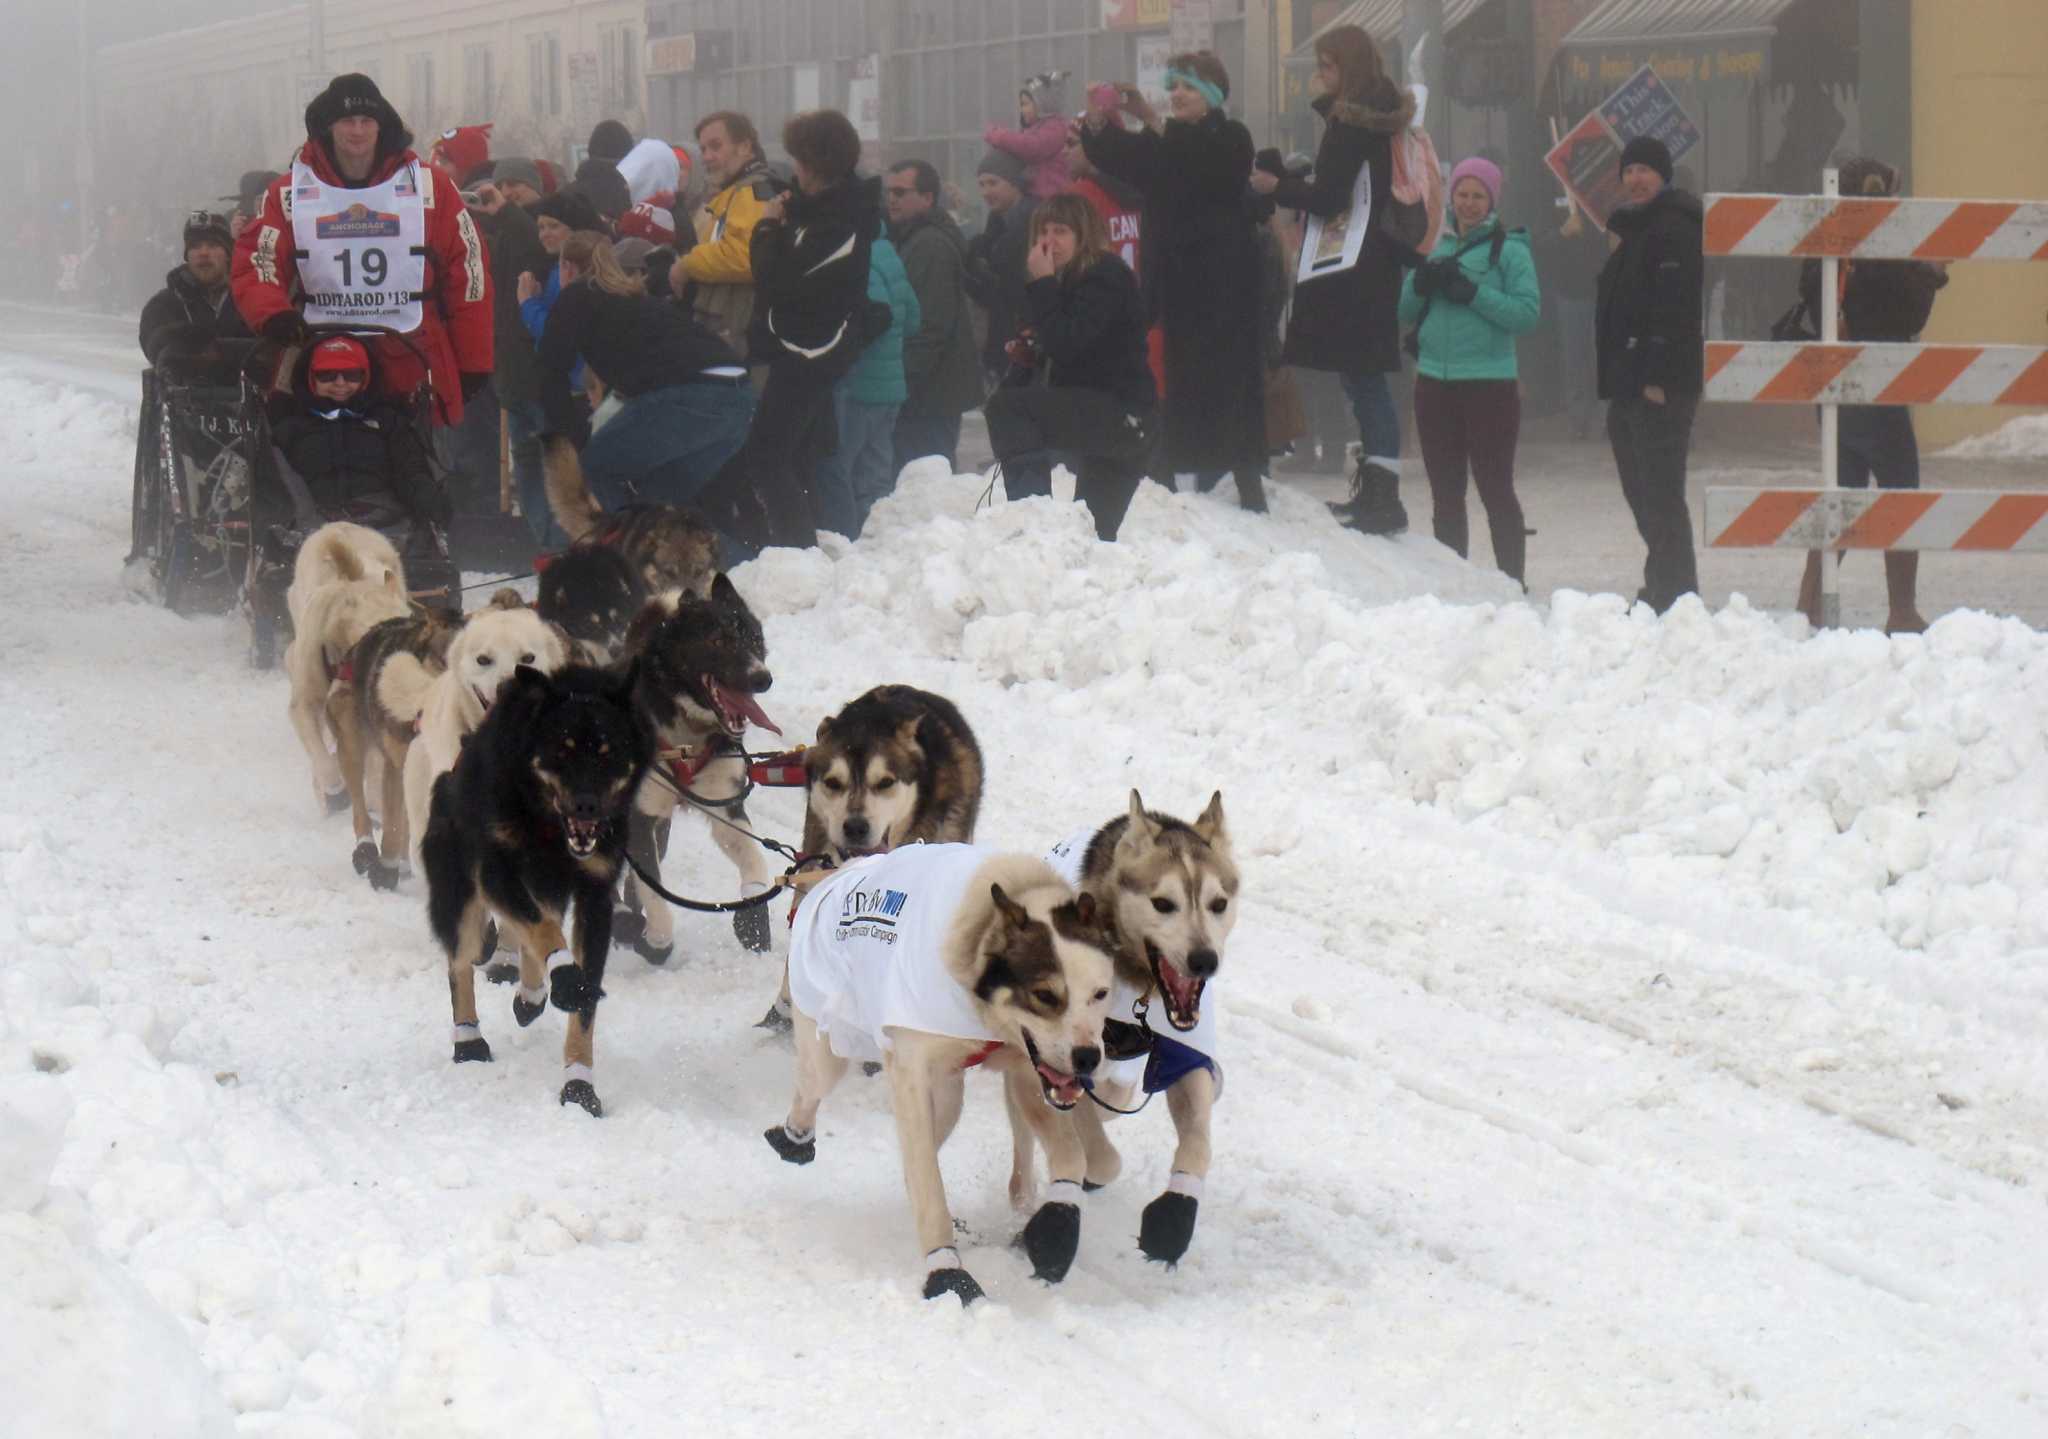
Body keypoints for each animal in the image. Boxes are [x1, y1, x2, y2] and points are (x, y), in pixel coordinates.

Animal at [770, 843, 1122, 1310]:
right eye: (1045, 995)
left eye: (1100, 993)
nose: (1087, 1058)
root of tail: (838, 873)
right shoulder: (911, 1075)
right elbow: (929, 1188)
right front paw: (947, 1271)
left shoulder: (1027, 1072)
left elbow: (1070, 1156)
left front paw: (1055, 1228)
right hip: (830, 1051)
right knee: (811, 1094)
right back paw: (793, 1139)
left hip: (951, 1093)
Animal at [1015, 794, 1236, 1269]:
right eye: (1163, 903)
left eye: (1219, 903)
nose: (1204, 960)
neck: (1142, 989)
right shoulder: (1068, 1059)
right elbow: (1101, 1158)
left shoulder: (1185, 1054)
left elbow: (1198, 1143)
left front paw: (1173, 1217)